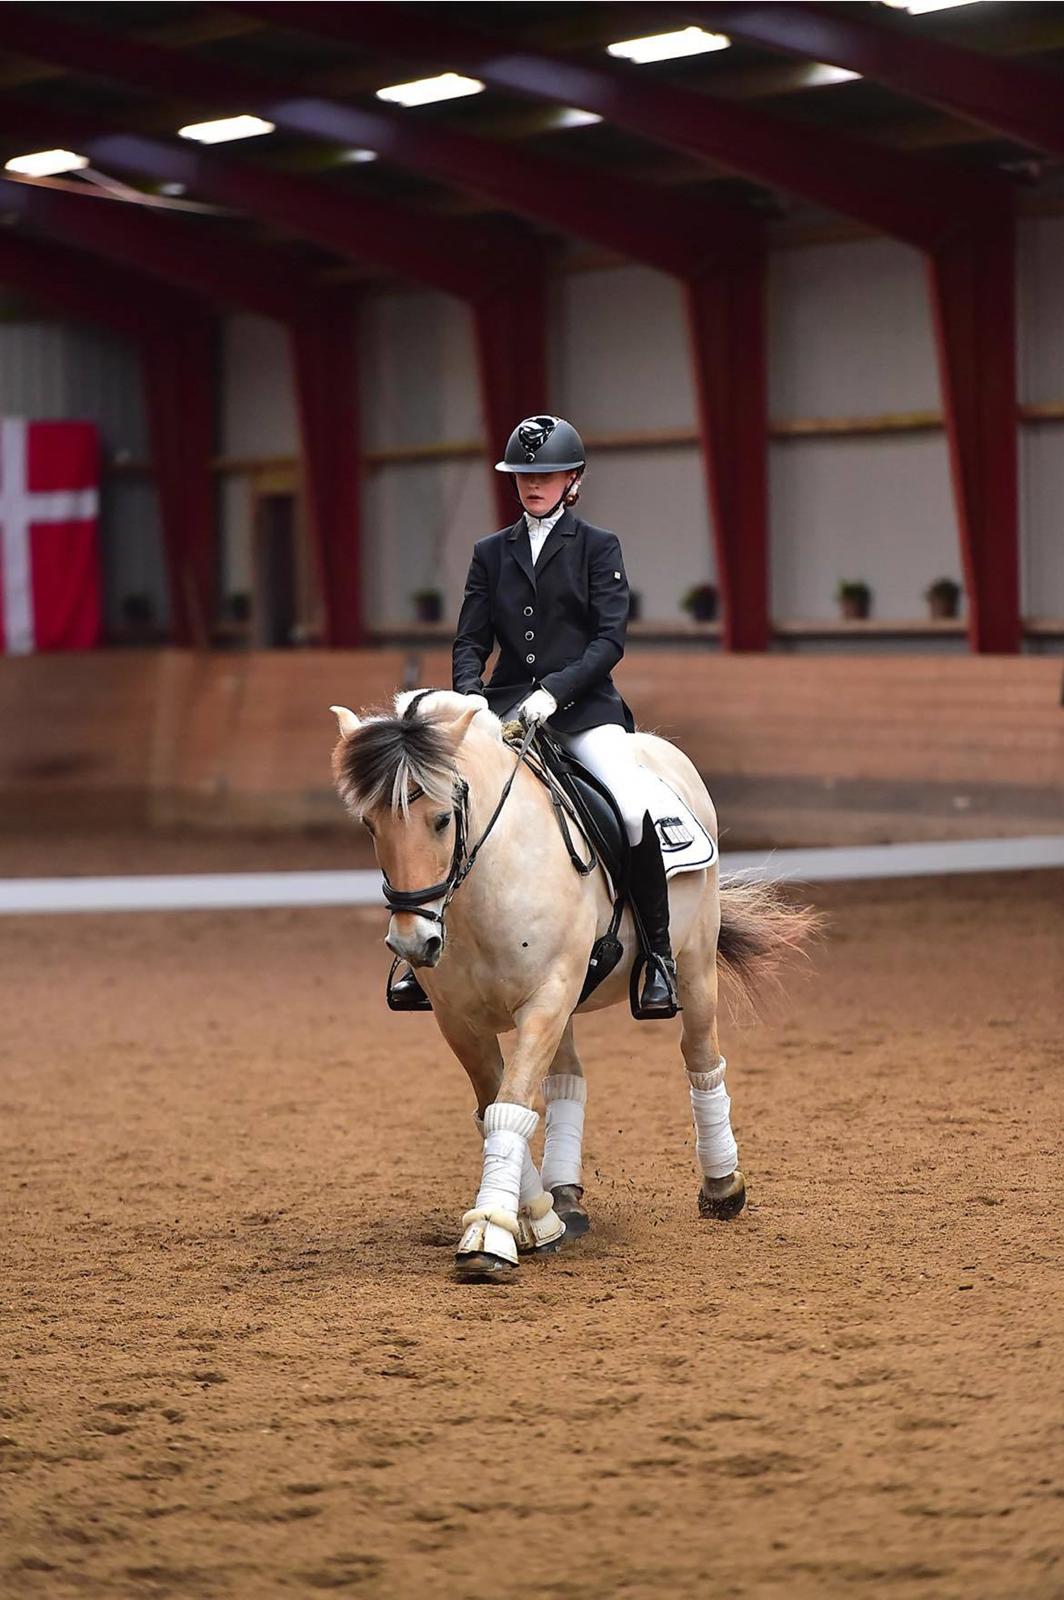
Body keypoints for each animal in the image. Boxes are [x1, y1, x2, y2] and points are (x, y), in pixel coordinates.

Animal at [332, 694, 812, 1280]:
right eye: (370, 825)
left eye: (442, 819)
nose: (413, 942)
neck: (487, 882)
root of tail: (659, 748)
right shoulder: (459, 1019)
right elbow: (496, 1107)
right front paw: (538, 1219)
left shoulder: (546, 997)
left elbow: (511, 1104)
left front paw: (488, 1234)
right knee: (568, 1080)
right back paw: (566, 1196)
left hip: (695, 965)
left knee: (701, 1058)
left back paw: (723, 1187)